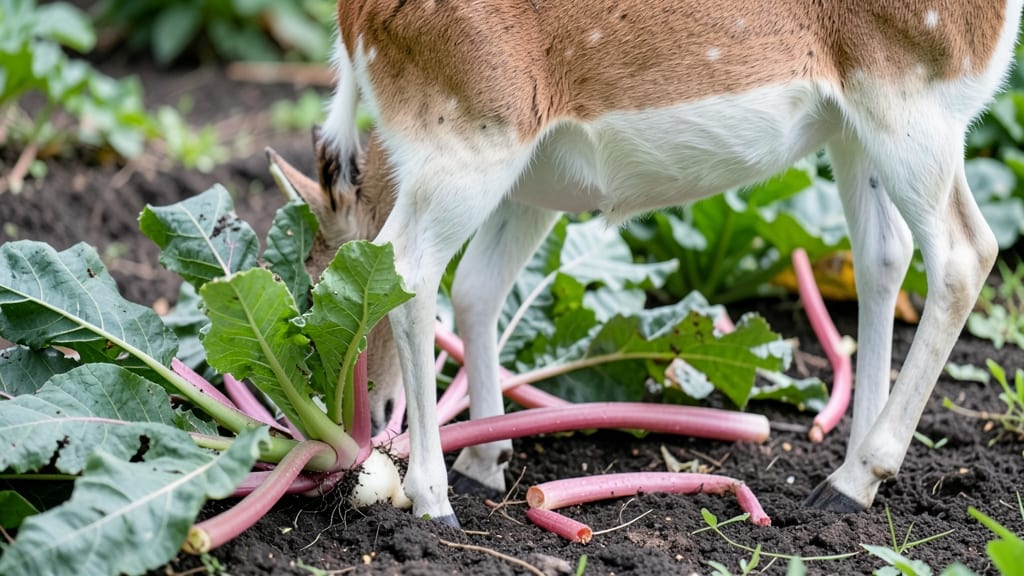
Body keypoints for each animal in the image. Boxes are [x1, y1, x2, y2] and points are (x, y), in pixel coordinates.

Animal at [279, 1, 1024, 527]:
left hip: (913, 98)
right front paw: (486, 461)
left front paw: (442, 489)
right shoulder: (533, 182)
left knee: (965, 252)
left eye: (322, 285)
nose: (373, 409)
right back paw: (846, 478)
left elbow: (418, 280)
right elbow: (479, 290)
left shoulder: (473, 142)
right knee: (885, 254)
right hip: (855, 125)